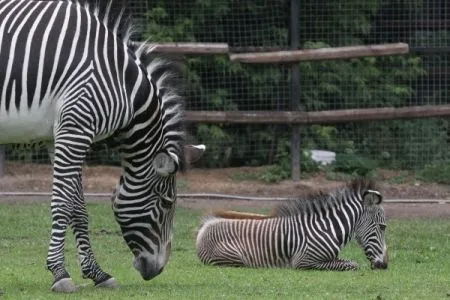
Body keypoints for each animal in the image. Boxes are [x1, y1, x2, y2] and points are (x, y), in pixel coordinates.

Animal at [0, 0, 206, 292]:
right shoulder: (75, 129)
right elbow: (62, 203)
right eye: (166, 203)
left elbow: (78, 207)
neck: (121, 82)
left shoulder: (61, 134)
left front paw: (97, 273)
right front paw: (60, 273)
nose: (157, 270)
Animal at [195, 179, 388, 270]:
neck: (328, 229)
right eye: (382, 227)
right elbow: (352, 265)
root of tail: (206, 225)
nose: (385, 265)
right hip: (235, 258)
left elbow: (350, 262)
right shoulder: (304, 261)